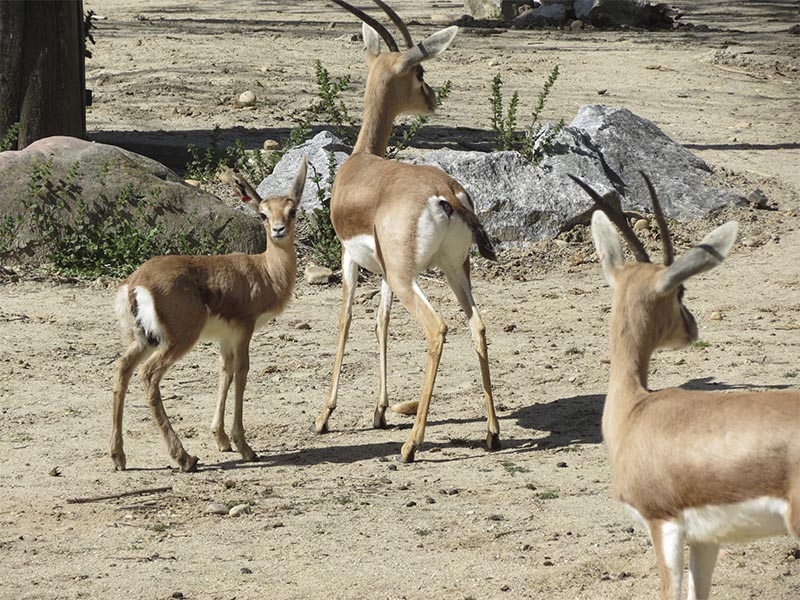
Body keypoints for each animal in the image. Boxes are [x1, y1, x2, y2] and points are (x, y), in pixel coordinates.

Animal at [107, 157, 306, 472]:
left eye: (292, 210)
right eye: (263, 214)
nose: (278, 229)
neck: (265, 271)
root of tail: (135, 283)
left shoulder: (225, 337)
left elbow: (225, 372)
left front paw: (221, 439)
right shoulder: (244, 329)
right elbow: (242, 373)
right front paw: (244, 447)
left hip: (143, 339)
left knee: (122, 368)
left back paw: (118, 456)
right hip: (178, 340)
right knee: (148, 375)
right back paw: (184, 458)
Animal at [314, 0, 496, 462]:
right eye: (420, 73)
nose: (431, 98)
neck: (360, 164)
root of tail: (446, 192)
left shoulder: (349, 258)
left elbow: (345, 321)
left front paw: (324, 416)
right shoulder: (382, 270)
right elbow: (381, 322)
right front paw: (379, 410)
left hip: (409, 276)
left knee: (439, 329)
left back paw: (412, 443)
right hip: (453, 270)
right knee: (478, 326)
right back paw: (492, 433)